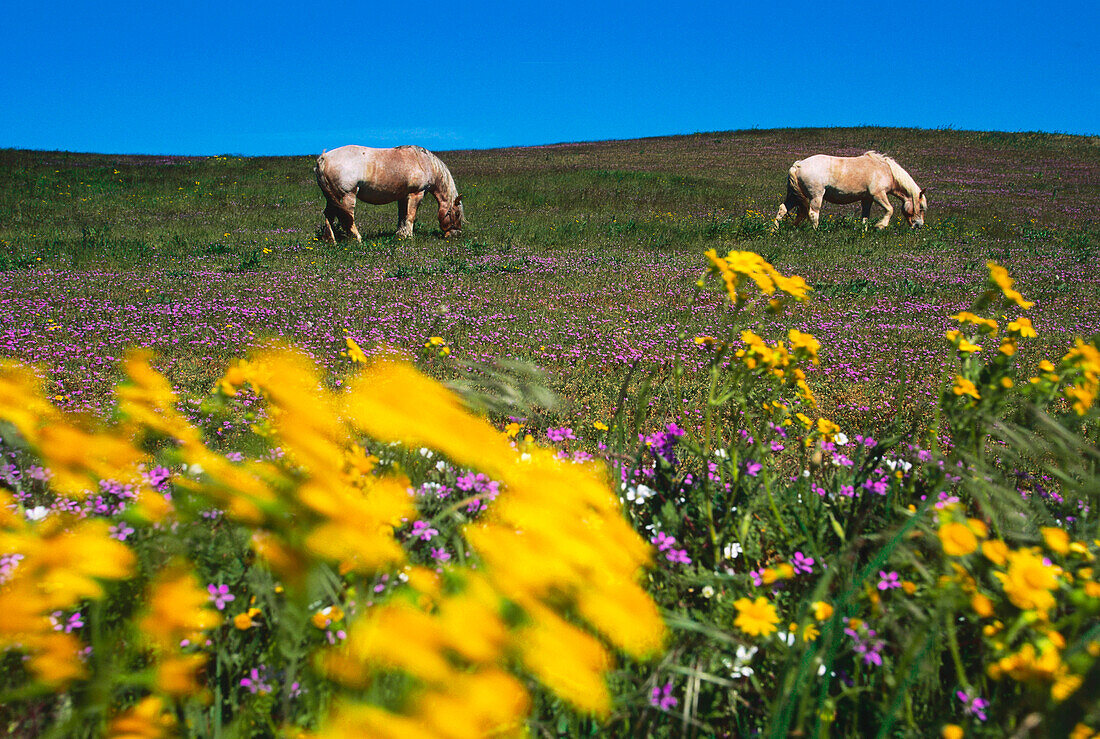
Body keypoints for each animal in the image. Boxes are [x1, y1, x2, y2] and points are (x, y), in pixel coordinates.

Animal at [314, 146, 464, 241]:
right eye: (457, 214)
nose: (456, 234)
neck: (425, 163)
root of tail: (324, 157)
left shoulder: (403, 197)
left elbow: (402, 216)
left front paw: (401, 235)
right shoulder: (416, 194)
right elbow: (411, 216)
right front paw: (409, 236)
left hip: (333, 197)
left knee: (329, 214)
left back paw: (330, 240)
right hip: (348, 195)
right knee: (348, 216)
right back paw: (357, 238)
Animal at [774, 150, 928, 229]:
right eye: (920, 207)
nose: (919, 225)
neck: (885, 170)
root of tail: (798, 165)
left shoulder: (867, 199)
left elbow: (865, 217)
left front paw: (864, 232)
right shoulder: (878, 195)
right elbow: (890, 210)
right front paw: (881, 225)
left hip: (794, 196)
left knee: (783, 209)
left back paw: (774, 231)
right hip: (816, 196)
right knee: (813, 214)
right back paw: (816, 232)